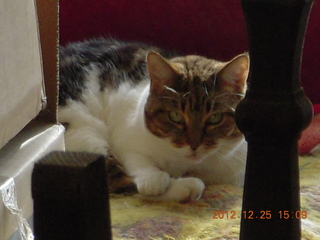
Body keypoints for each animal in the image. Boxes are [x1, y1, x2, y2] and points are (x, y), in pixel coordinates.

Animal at [58, 38, 249, 202]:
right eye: (175, 116)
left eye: (215, 118)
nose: (194, 145)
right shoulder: (124, 135)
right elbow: (137, 161)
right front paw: (153, 178)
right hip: (82, 128)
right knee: (120, 182)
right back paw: (186, 186)